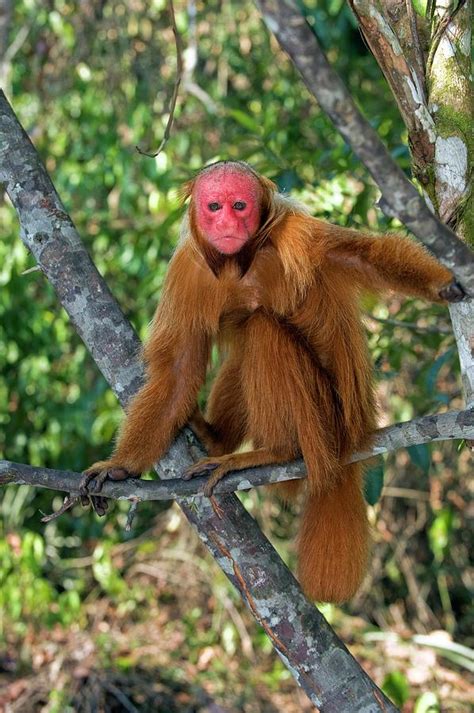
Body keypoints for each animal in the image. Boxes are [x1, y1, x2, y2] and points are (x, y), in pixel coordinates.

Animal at [81, 160, 462, 600]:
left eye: (240, 206)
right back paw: (218, 439)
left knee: (261, 330)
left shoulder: (295, 234)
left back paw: (277, 452)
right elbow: (177, 371)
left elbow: (359, 255)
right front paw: (120, 467)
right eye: (214, 206)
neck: (240, 262)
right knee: (247, 339)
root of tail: (354, 439)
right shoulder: (186, 272)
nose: (227, 223)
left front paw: (443, 284)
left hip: (326, 419)